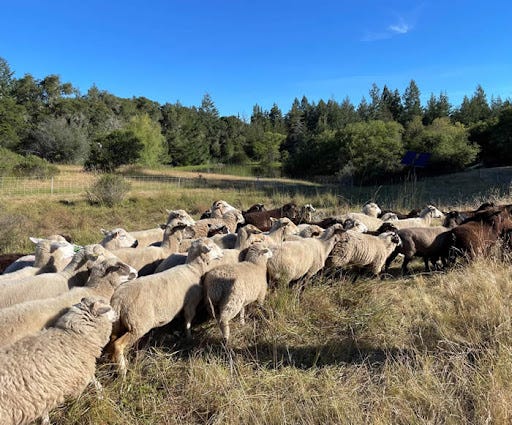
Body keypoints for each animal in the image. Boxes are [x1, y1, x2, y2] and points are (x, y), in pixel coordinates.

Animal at [109, 237, 223, 376]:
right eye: (212, 246)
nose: (223, 253)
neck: (193, 269)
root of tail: (118, 300)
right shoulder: (190, 303)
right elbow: (188, 320)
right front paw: (189, 337)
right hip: (137, 325)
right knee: (118, 345)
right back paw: (123, 371)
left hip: (117, 325)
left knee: (111, 343)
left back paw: (114, 364)